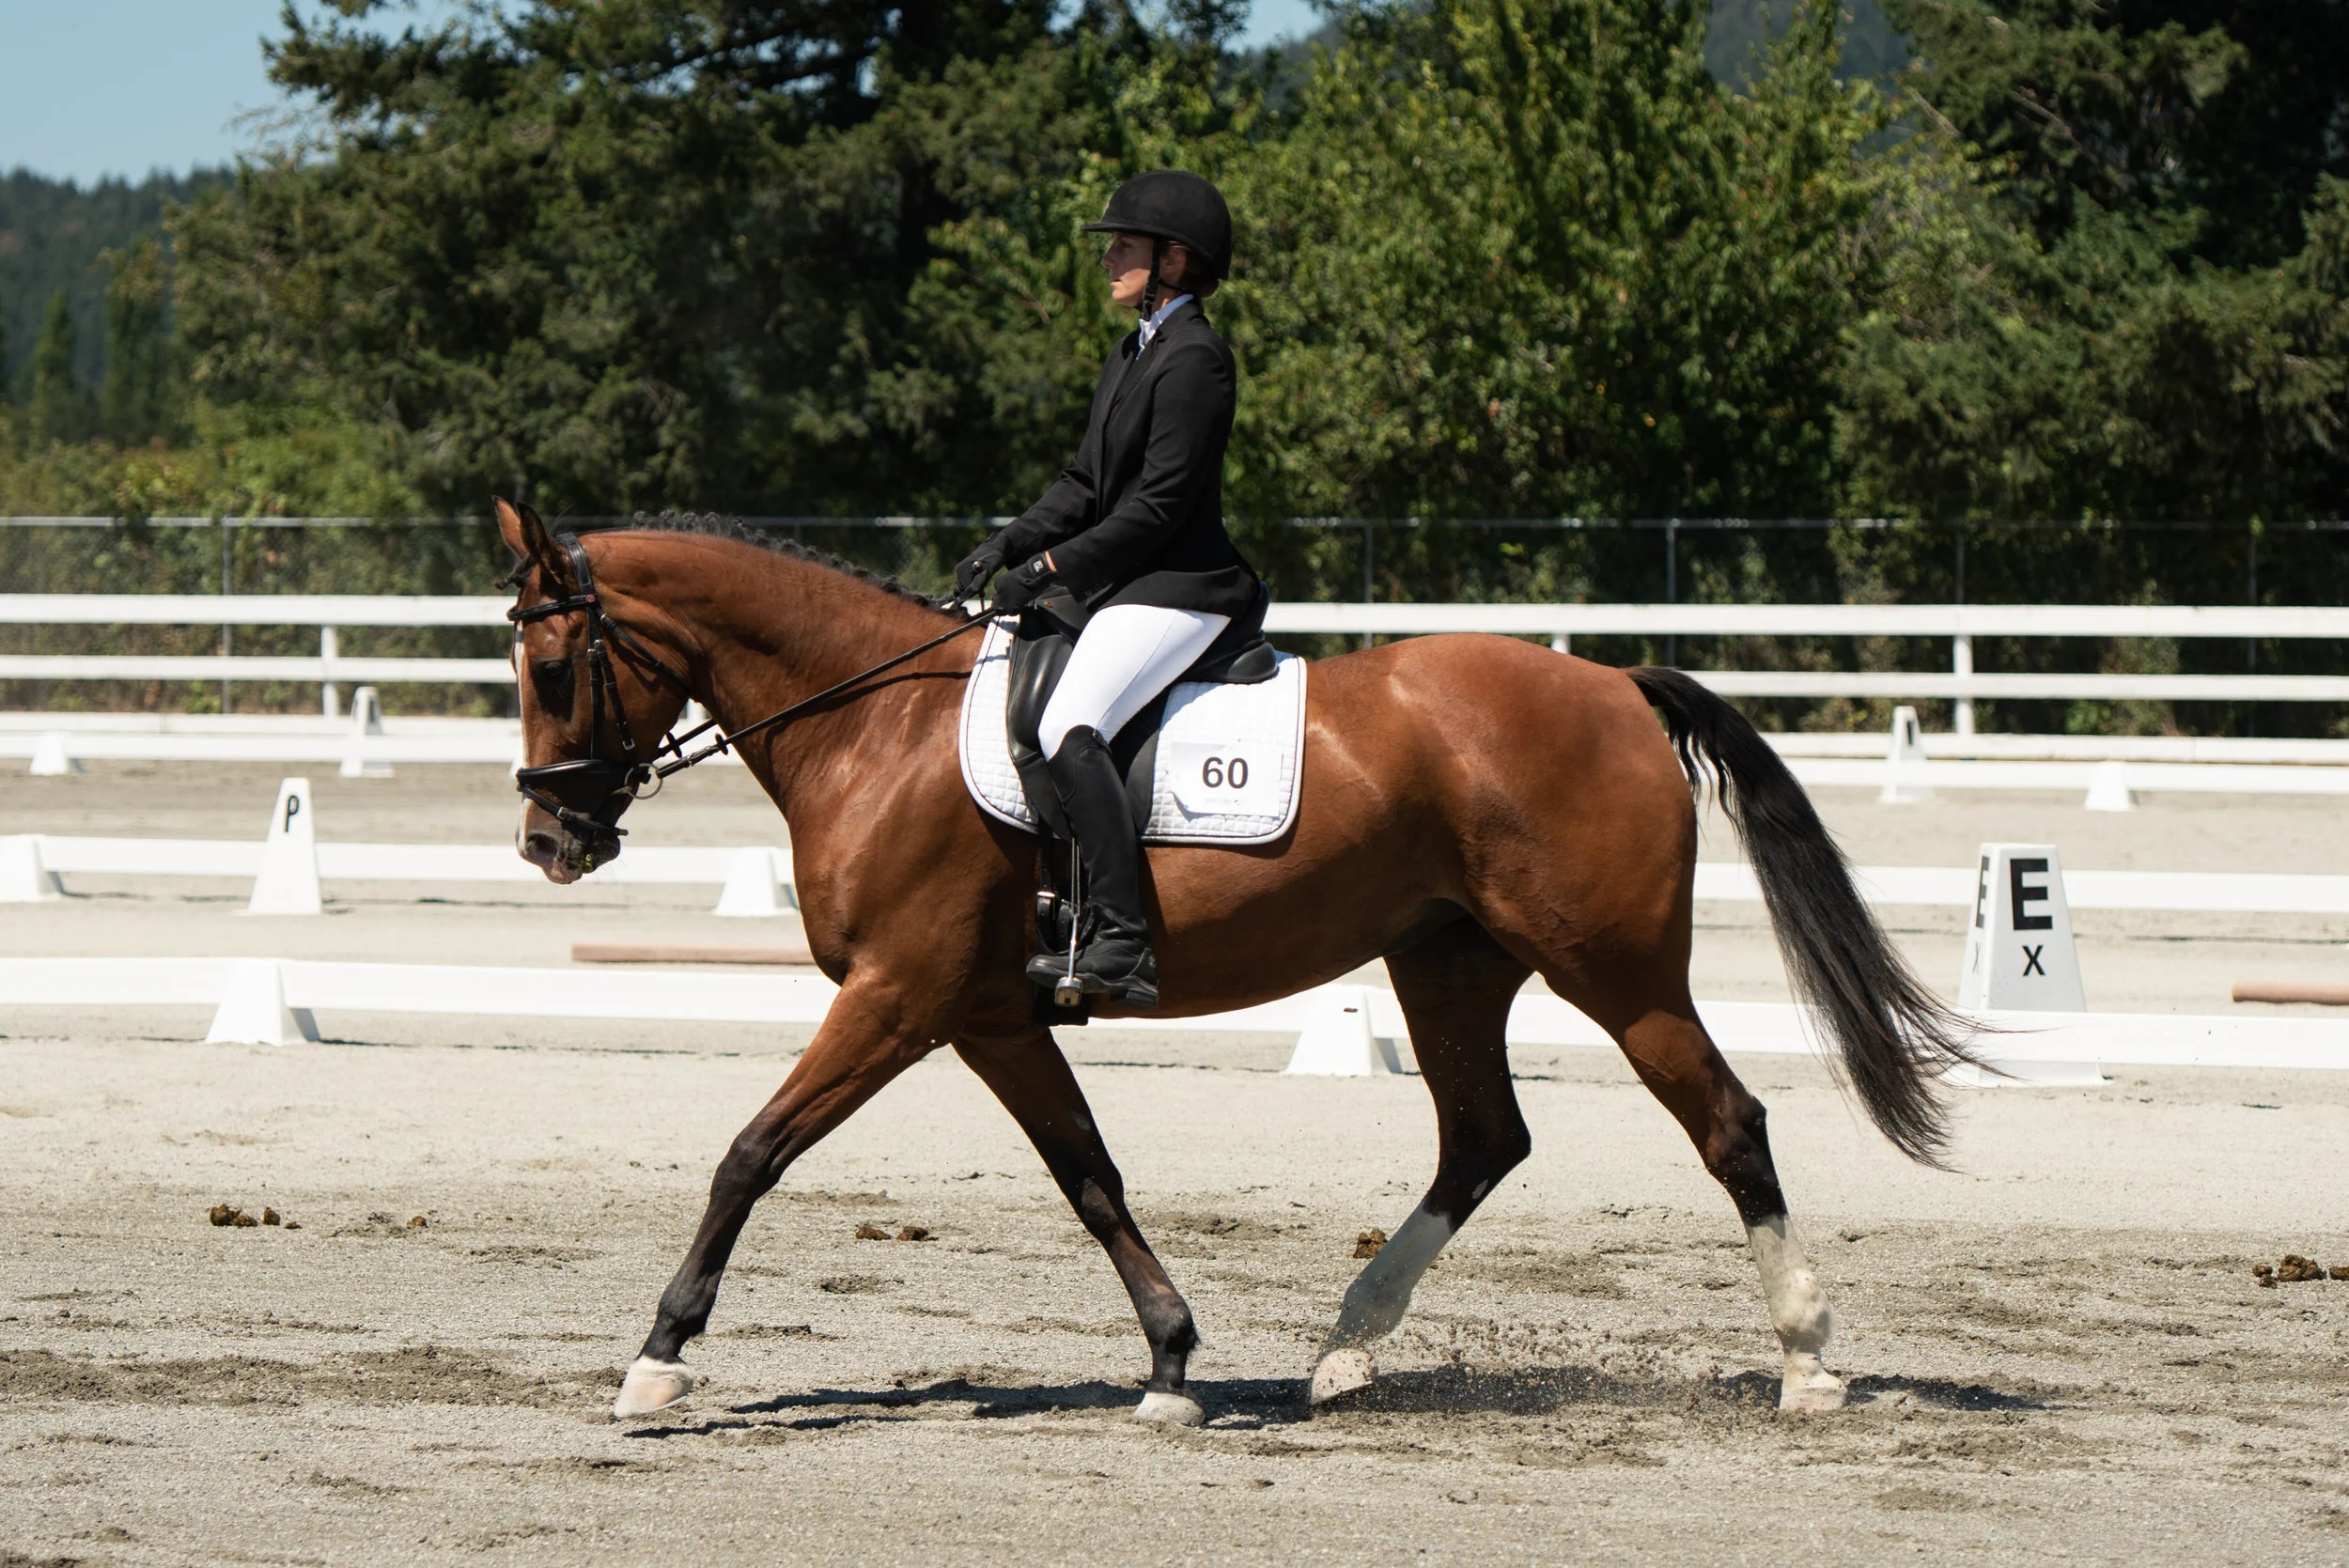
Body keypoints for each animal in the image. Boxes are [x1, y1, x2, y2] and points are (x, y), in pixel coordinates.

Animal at [493, 498, 1976, 1426]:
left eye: (557, 665)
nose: (548, 839)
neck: (875, 727)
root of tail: (1614, 681)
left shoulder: (898, 998)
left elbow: (751, 1151)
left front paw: (657, 1360)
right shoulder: (988, 1016)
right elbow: (1090, 1176)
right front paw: (1168, 1361)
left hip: (1615, 971)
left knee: (1728, 1121)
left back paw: (1807, 1365)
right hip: (1448, 965)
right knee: (1483, 1139)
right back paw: (1345, 1351)